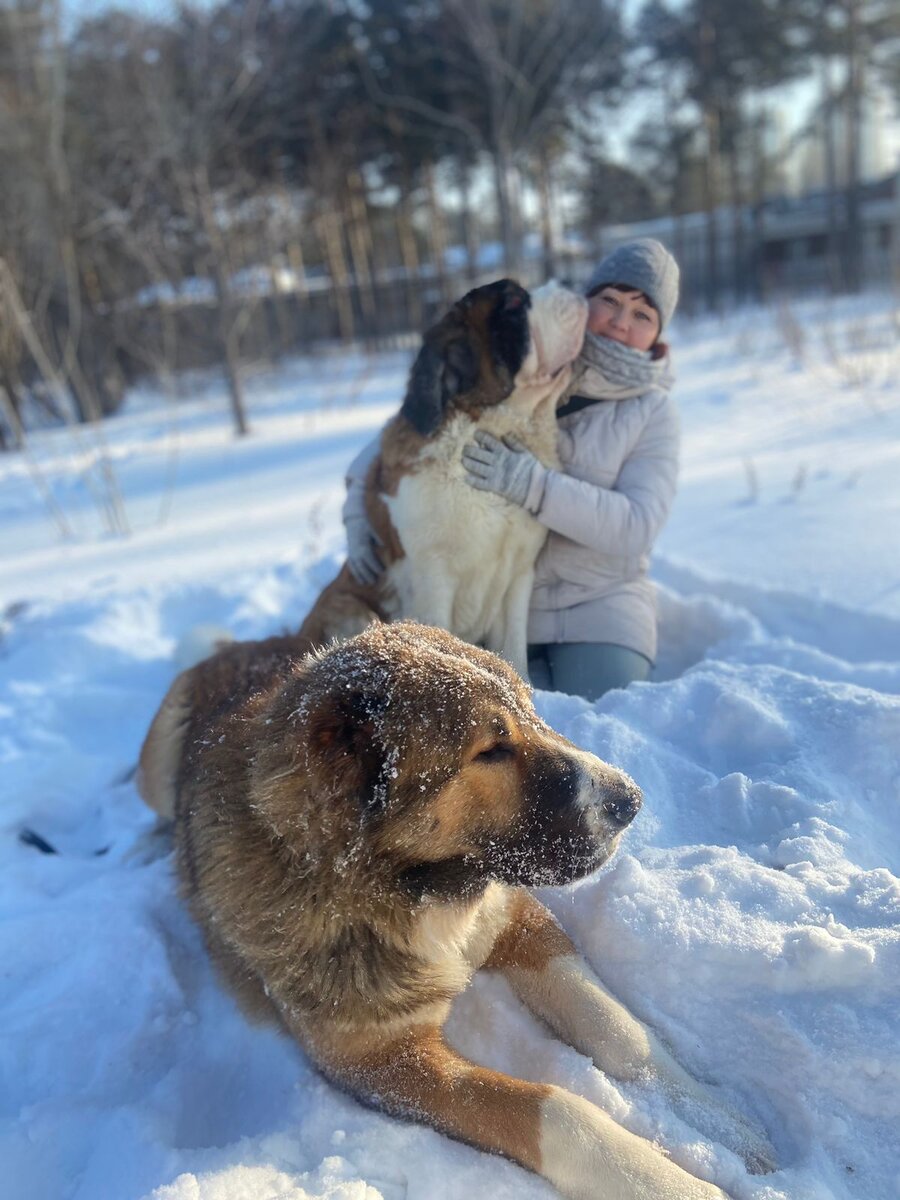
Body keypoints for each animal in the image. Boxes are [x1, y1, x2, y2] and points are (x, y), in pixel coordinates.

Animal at [139, 619, 777, 1200]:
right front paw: (677, 1185)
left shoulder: (516, 918)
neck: (415, 893)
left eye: (532, 707)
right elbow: (556, 1109)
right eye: (491, 750)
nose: (630, 800)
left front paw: (722, 1127)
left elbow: (617, 1027)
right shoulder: (387, 1060)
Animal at [300, 278, 588, 676]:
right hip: (351, 610)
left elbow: (514, 647)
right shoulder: (434, 576)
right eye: (514, 303)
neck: (484, 428)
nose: (569, 283)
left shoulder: (520, 575)